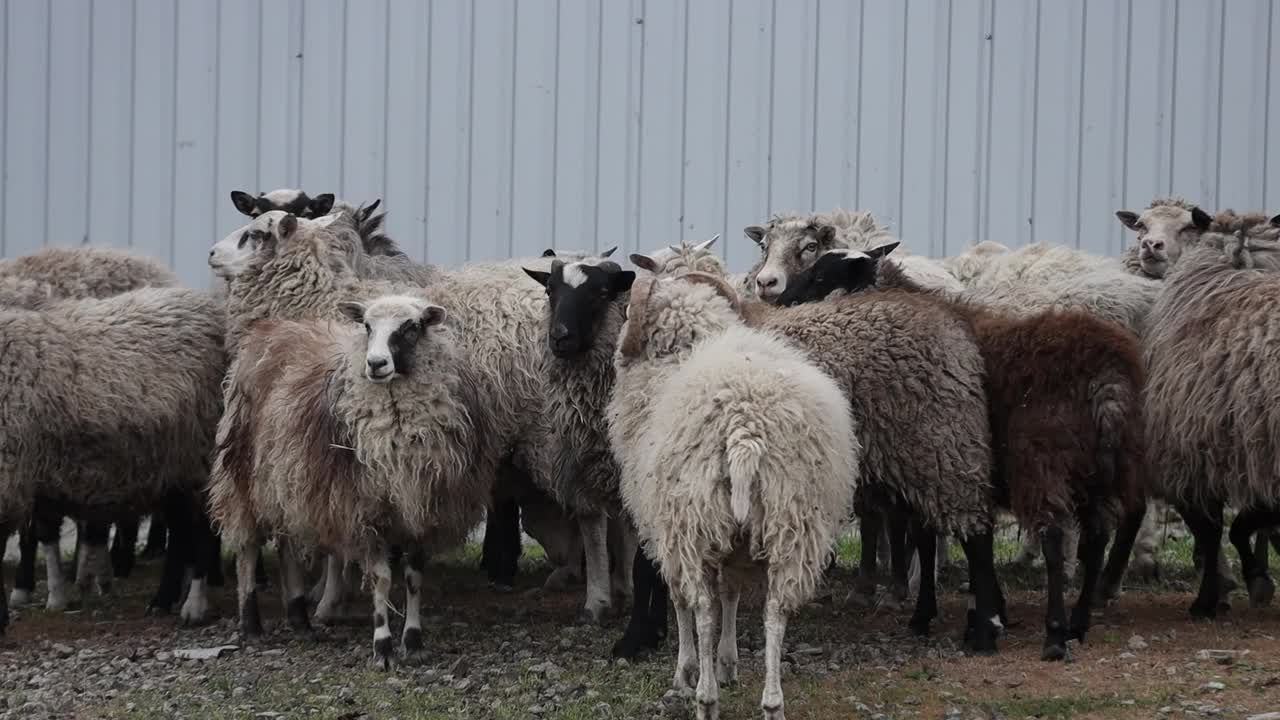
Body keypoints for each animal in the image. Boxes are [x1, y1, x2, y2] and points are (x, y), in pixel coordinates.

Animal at [0, 285, 225, 632]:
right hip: (171, 469)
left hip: (199, 458)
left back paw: (194, 605)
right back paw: (163, 600)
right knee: (180, 534)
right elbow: (43, 534)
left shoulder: (9, 473)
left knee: (201, 531)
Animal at [611, 270, 860, 717]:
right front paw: (728, 664)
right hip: (791, 521)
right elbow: (731, 594)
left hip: (695, 522)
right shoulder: (734, 543)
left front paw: (687, 672)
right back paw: (772, 703)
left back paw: (705, 698)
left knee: (703, 609)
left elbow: (683, 602)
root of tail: (745, 431)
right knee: (775, 611)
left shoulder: (668, 530)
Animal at [778, 243, 1152, 661]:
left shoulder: (939, 463)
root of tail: (1109, 379)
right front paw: (987, 611)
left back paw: (1055, 635)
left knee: (1055, 538)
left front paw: (932, 616)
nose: (779, 300)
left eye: (820, 276)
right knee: (1097, 539)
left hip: (1041, 462)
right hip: (1107, 468)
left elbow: (930, 540)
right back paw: (1079, 623)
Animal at [1146, 215, 1280, 614]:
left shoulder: (1191, 456)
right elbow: (1239, 527)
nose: (1150, 248)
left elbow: (1216, 530)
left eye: (1186, 228)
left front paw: (1209, 599)